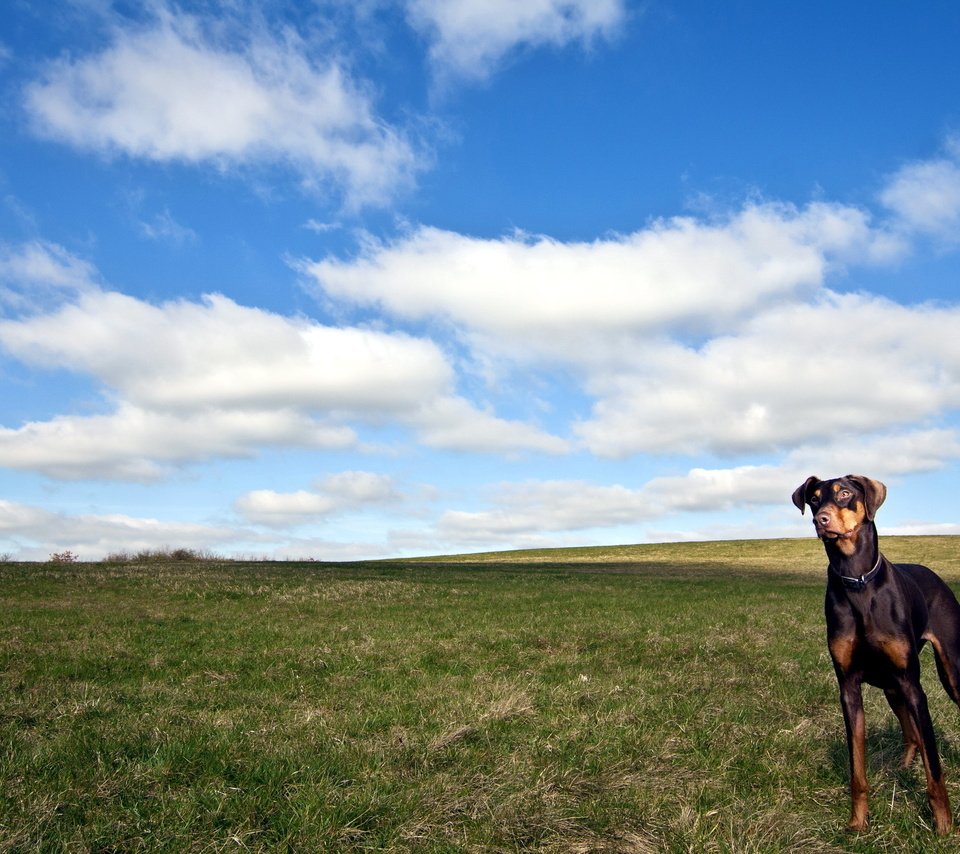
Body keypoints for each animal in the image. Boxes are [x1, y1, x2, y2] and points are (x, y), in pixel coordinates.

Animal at [792, 474, 960, 836]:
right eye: (814, 498)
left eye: (844, 493)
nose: (821, 520)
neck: (857, 582)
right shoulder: (849, 688)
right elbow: (857, 769)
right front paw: (858, 822)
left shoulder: (914, 686)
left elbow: (935, 767)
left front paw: (943, 825)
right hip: (891, 686)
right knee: (911, 735)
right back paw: (903, 767)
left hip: (949, 671)